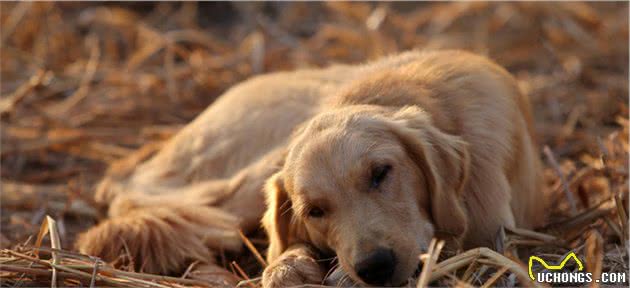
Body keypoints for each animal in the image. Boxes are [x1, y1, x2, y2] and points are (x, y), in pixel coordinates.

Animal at [75, 49, 548, 286]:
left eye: (381, 173)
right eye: (315, 211)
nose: (374, 267)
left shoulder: (490, 236)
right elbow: (282, 249)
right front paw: (289, 269)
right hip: (249, 178)